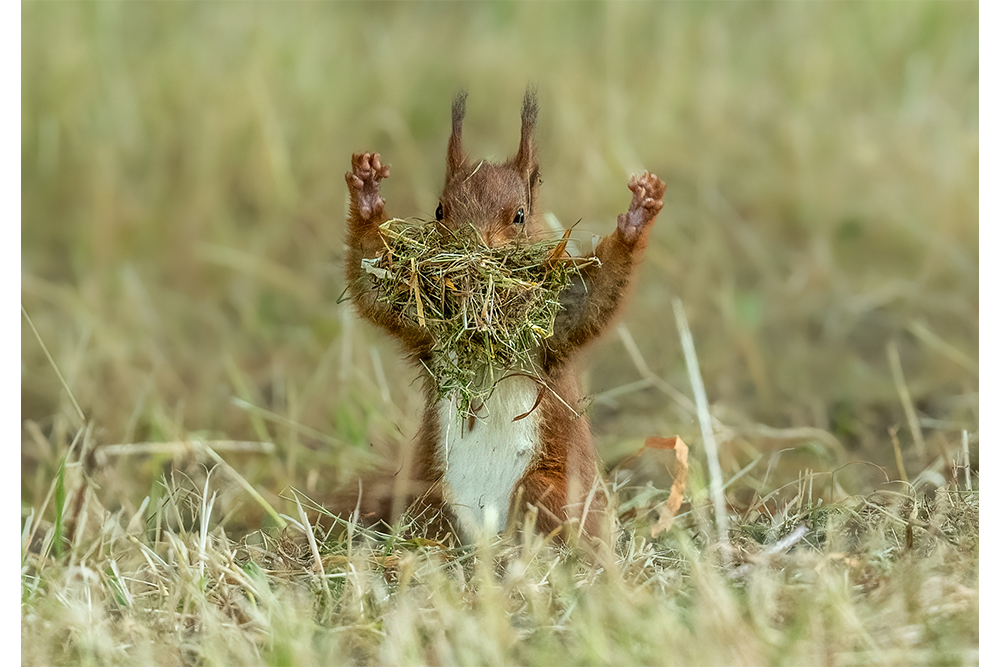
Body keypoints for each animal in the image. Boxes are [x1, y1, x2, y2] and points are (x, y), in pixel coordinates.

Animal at [344, 90, 665, 544]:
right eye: (439, 211)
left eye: (519, 216)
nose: (473, 252)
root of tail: (485, 539)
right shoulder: (423, 329)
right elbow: (373, 284)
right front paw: (368, 197)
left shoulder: (556, 322)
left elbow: (597, 293)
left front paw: (636, 217)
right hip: (427, 496)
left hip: (546, 486)